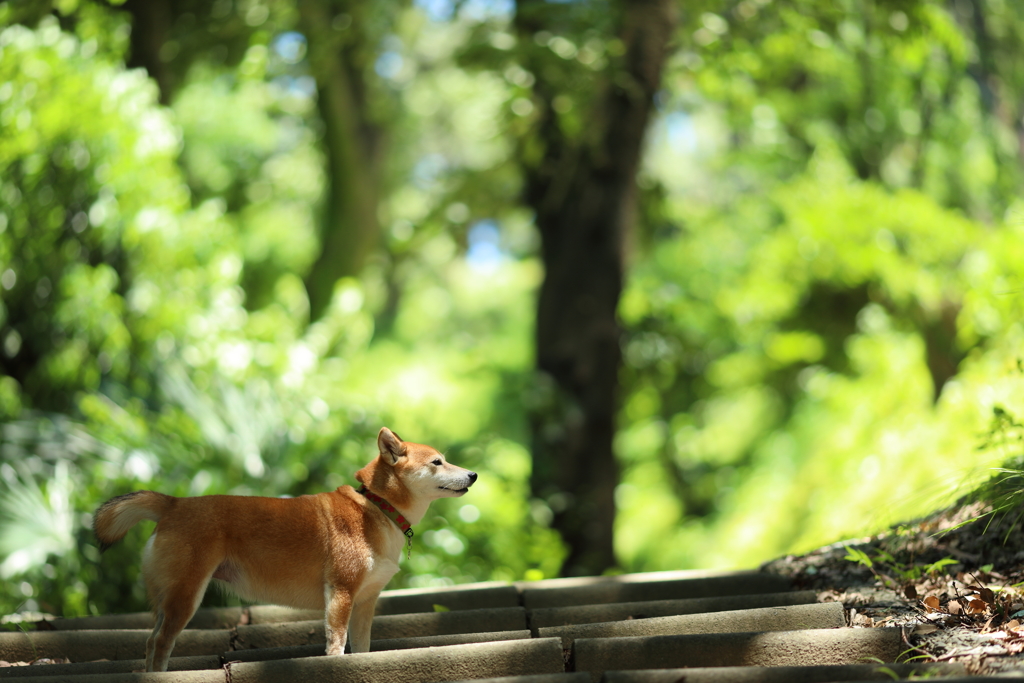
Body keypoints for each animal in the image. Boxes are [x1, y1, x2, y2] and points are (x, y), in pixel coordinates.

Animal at [94, 428, 477, 671]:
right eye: (437, 462)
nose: (473, 475)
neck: (378, 509)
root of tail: (173, 504)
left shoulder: (366, 602)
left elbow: (362, 648)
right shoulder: (340, 593)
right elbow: (336, 644)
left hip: (171, 599)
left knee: (149, 643)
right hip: (186, 596)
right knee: (160, 644)